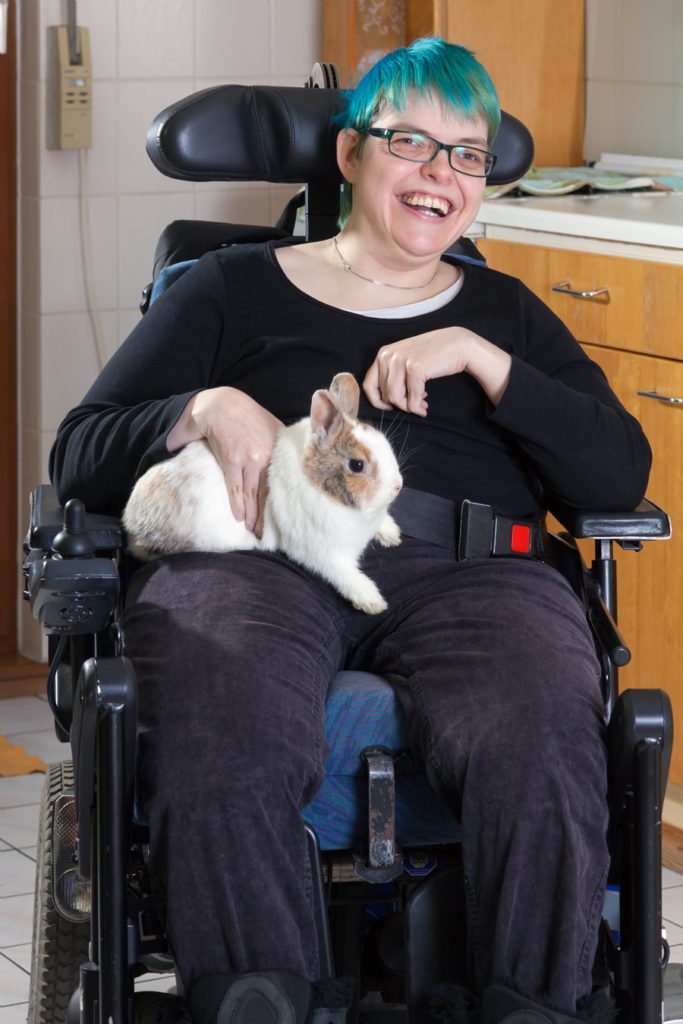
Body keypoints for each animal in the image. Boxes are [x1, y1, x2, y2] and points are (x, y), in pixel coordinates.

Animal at [122, 372, 403, 610]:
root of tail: (131, 524)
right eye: (357, 465)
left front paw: (392, 534)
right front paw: (372, 601)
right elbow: (345, 575)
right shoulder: (321, 552)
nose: (398, 486)